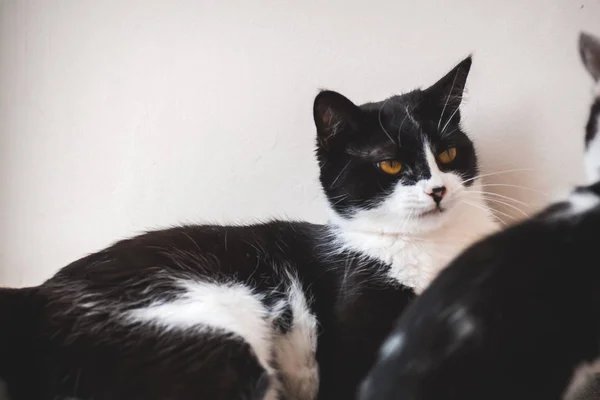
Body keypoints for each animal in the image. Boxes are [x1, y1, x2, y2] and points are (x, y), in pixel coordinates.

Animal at [0, 55, 496, 400]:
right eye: (390, 164)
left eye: (448, 154)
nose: (438, 190)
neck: (432, 246)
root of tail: (33, 298)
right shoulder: (354, 326)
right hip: (197, 333)